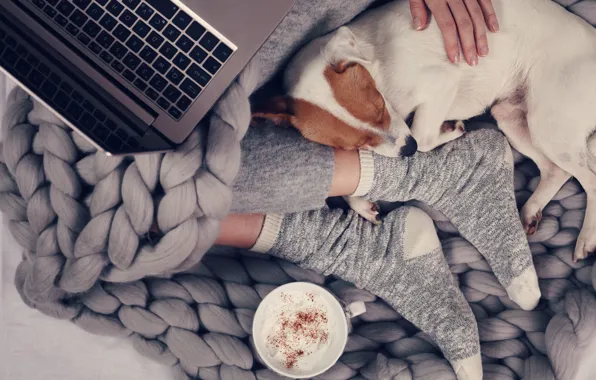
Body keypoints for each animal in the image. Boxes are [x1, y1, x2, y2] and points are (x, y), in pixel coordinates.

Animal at [254, 0, 596, 262]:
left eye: (378, 104)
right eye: (352, 144)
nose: (407, 150)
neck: (379, 69)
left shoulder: (439, 85)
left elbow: (424, 135)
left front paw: (448, 130)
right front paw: (361, 204)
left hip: (547, 125)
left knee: (589, 178)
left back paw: (586, 238)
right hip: (513, 119)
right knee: (556, 172)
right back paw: (532, 210)